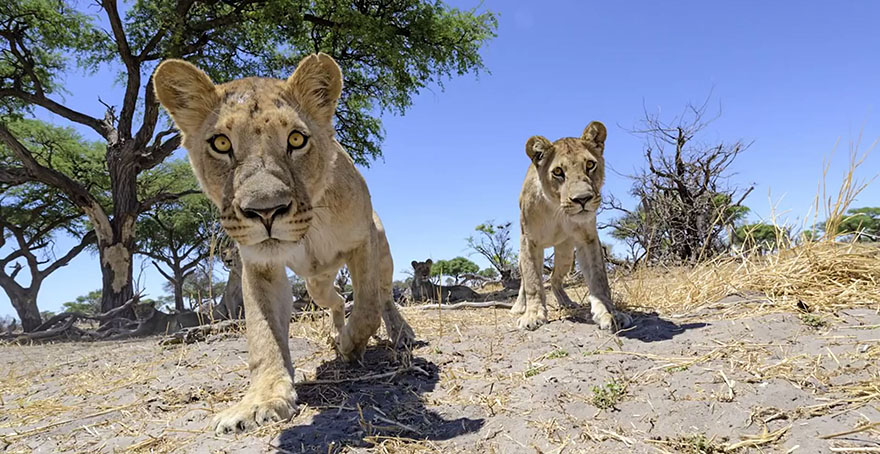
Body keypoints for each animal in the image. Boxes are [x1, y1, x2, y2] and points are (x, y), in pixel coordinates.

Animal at [153, 53, 415, 434]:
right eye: (221, 143)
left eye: (296, 139)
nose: (265, 210)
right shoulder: (259, 264)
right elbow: (264, 334)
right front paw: (261, 401)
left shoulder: (362, 240)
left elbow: (367, 308)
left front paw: (351, 346)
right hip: (317, 284)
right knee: (337, 300)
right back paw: (336, 330)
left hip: (381, 252)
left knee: (383, 297)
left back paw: (397, 334)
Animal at [511, 122, 632, 331]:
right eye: (558, 172)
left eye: (590, 165)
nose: (582, 199)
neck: (556, 209)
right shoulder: (529, 240)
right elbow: (532, 281)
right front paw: (533, 315)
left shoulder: (588, 238)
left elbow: (599, 278)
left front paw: (609, 313)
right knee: (524, 283)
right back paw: (519, 307)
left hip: (566, 254)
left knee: (554, 279)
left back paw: (566, 302)